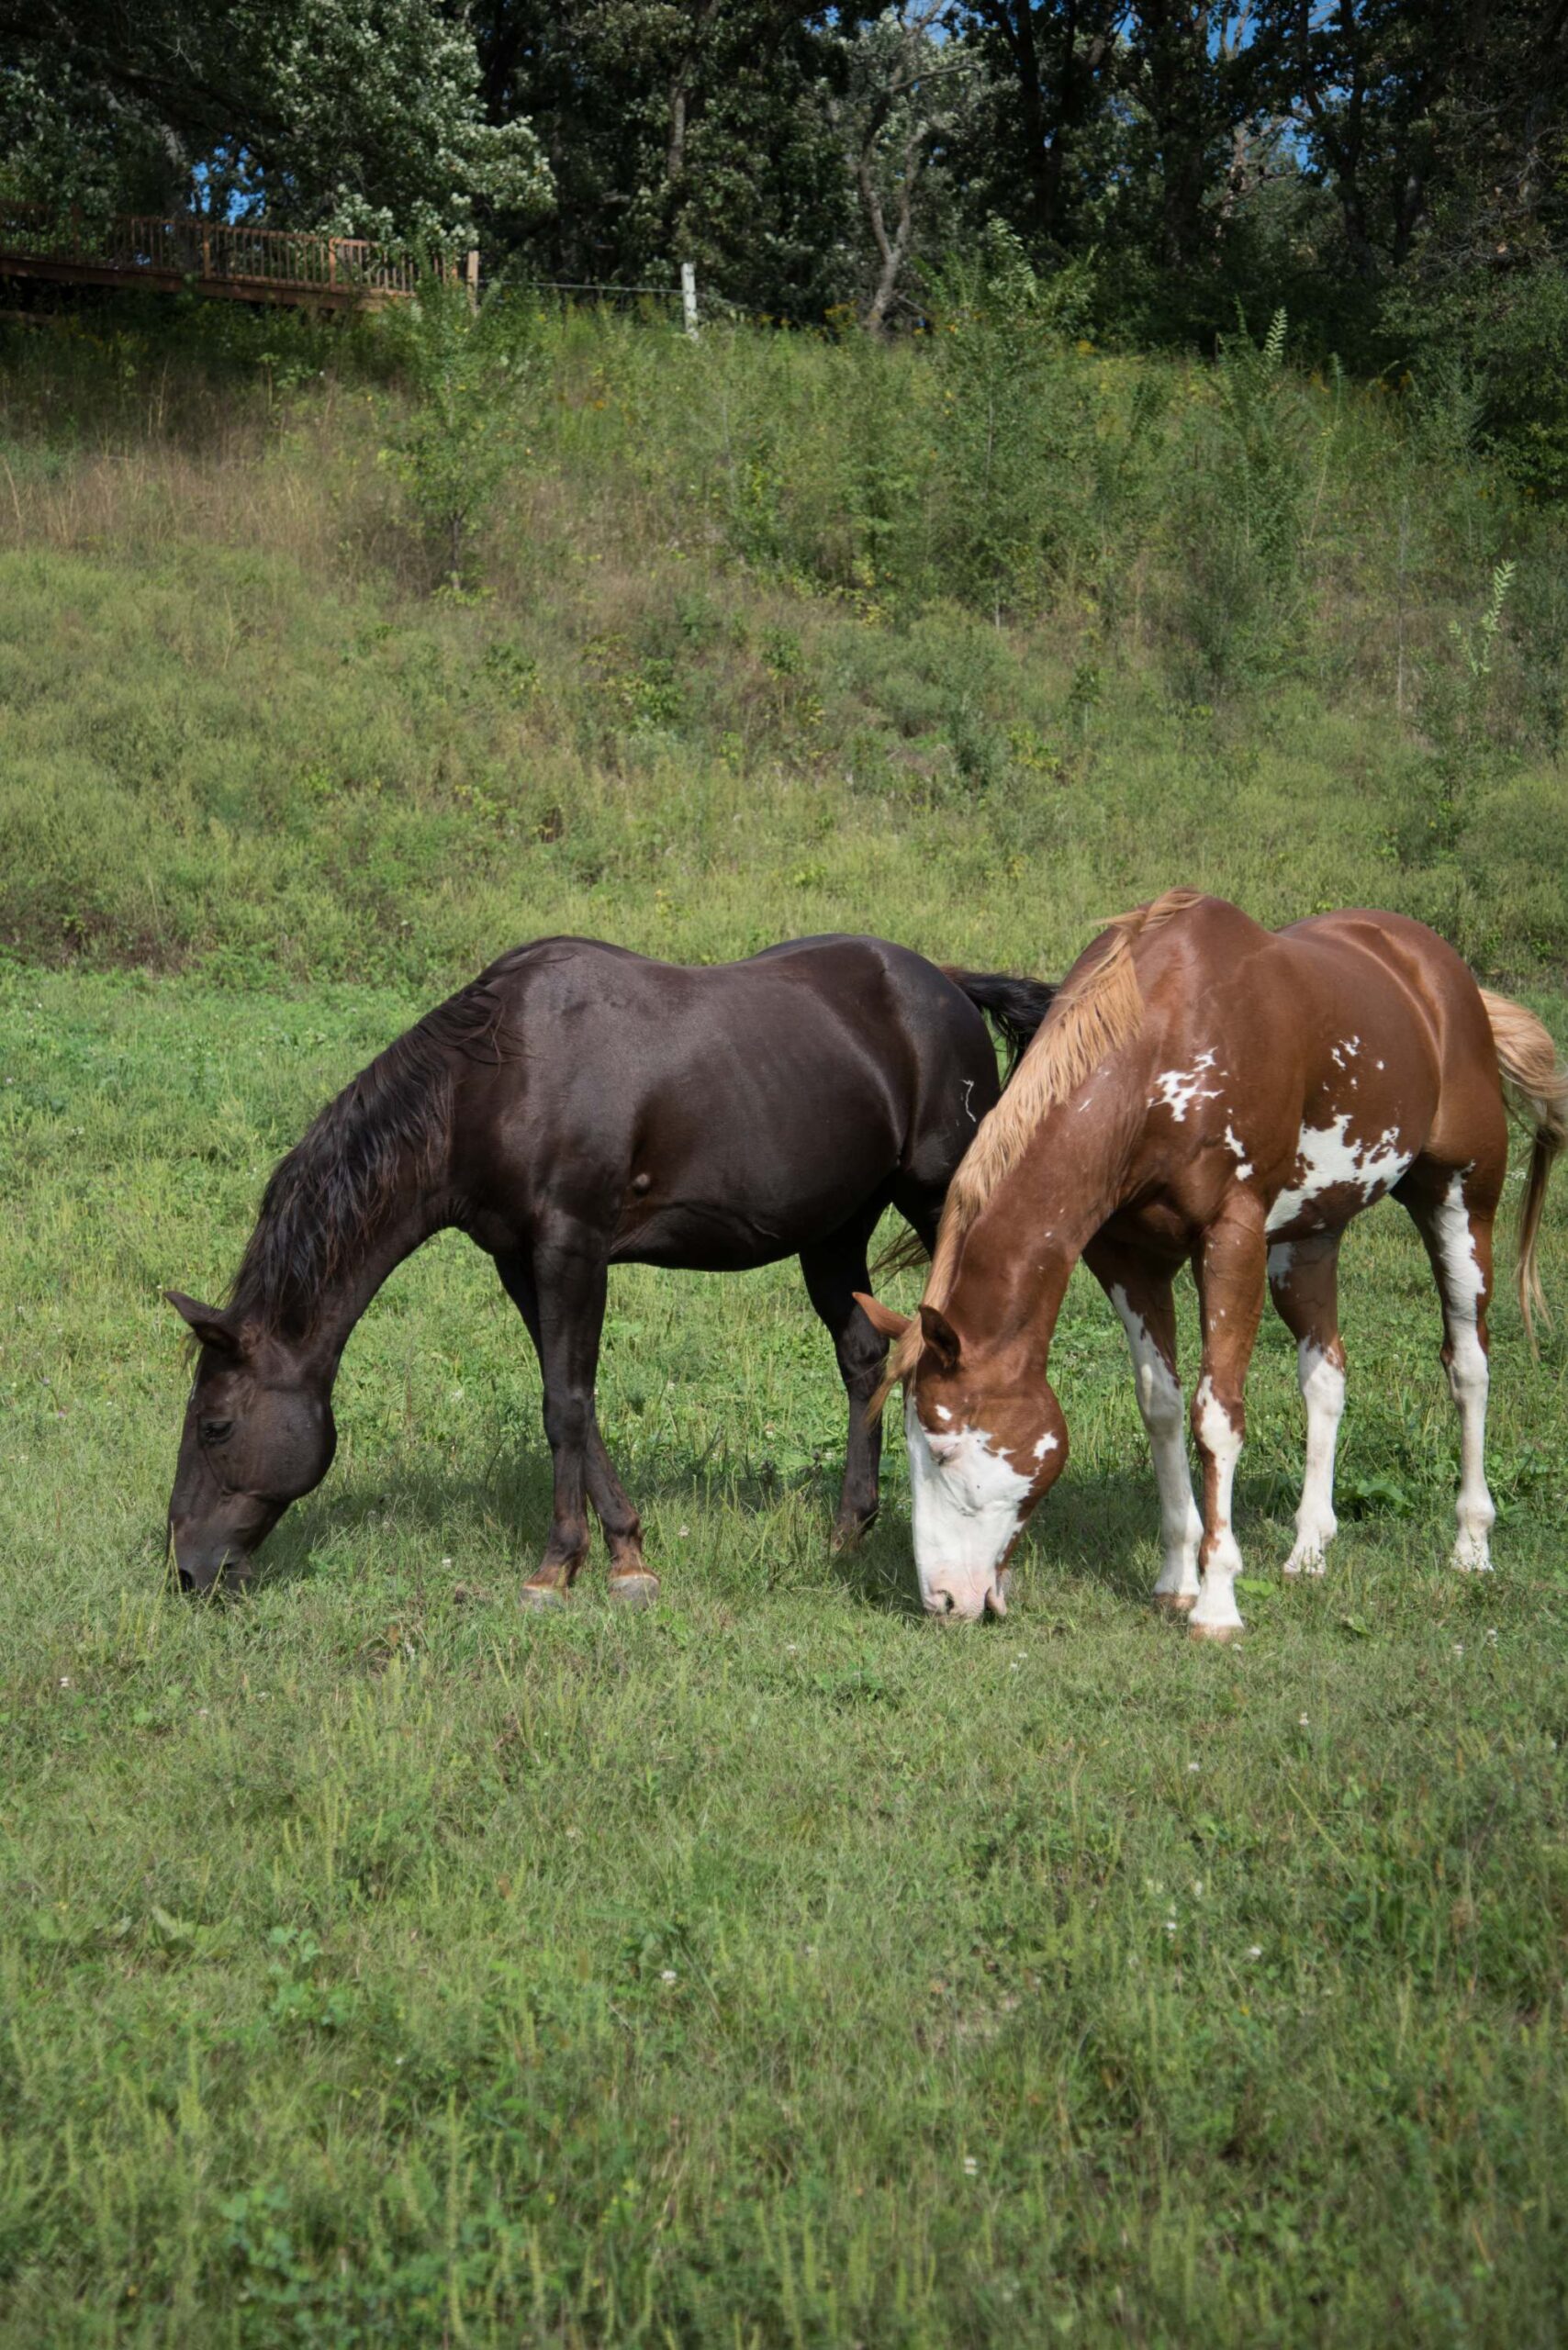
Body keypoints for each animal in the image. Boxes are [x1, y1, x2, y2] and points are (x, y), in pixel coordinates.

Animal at [165, 934, 1056, 1602]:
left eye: (215, 1426)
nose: (189, 1571)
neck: (494, 1078)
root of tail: (947, 986)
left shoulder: (574, 1246)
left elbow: (564, 1405)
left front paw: (558, 1565)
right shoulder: (520, 1260)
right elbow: (572, 1401)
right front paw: (625, 1552)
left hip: (939, 1200)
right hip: (835, 1233)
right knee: (866, 1360)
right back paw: (849, 1529)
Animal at [859, 892, 1566, 1638]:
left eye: (941, 1450)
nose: (941, 1601)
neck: (1160, 1052)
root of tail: (1444, 975)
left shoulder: (1232, 1241)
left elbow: (1216, 1417)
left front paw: (1218, 1601)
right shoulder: (1129, 1259)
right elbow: (1162, 1409)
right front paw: (1176, 1579)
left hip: (1461, 1201)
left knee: (1468, 1367)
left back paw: (1471, 1545)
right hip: (1310, 1237)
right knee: (1326, 1375)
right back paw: (1309, 1548)